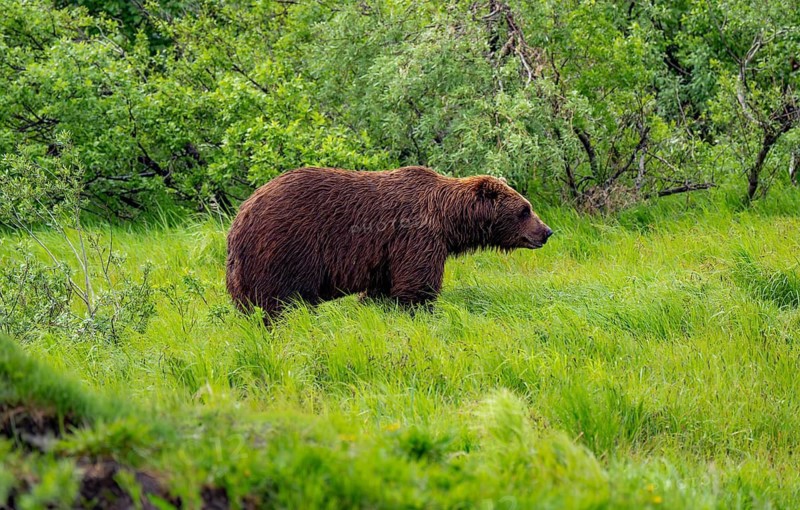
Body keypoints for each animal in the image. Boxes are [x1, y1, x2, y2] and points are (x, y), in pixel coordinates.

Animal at [226, 166, 552, 317]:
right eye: (525, 210)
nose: (547, 231)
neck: (448, 220)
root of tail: (241, 216)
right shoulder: (416, 236)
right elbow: (417, 287)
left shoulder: (387, 255)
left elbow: (381, 289)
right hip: (287, 247)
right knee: (286, 302)